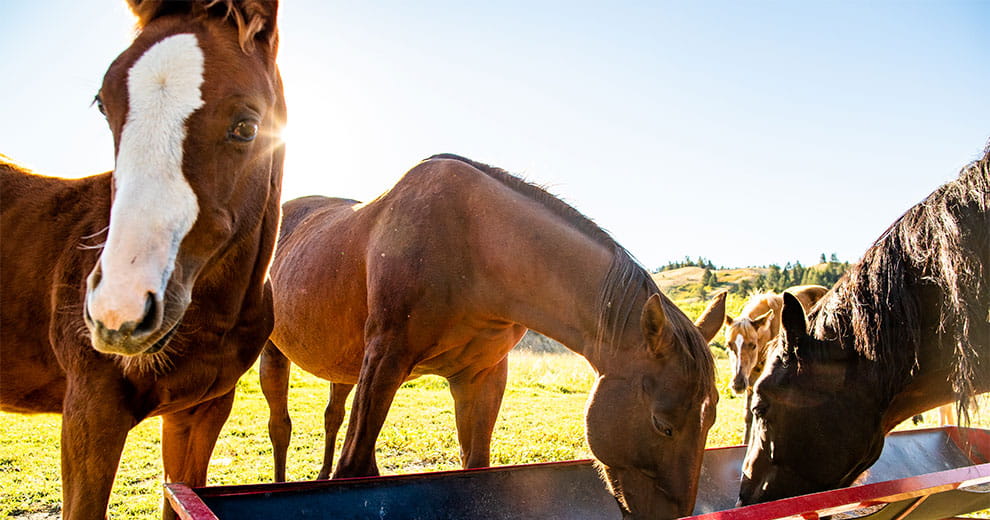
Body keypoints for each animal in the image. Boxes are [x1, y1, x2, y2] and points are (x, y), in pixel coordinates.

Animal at [260, 154, 726, 518]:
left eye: (711, 420)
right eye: (663, 425)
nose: (673, 516)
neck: (473, 244)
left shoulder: (480, 377)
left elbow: (475, 466)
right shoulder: (385, 359)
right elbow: (354, 468)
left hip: (345, 371)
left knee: (331, 416)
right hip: (277, 355)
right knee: (281, 429)